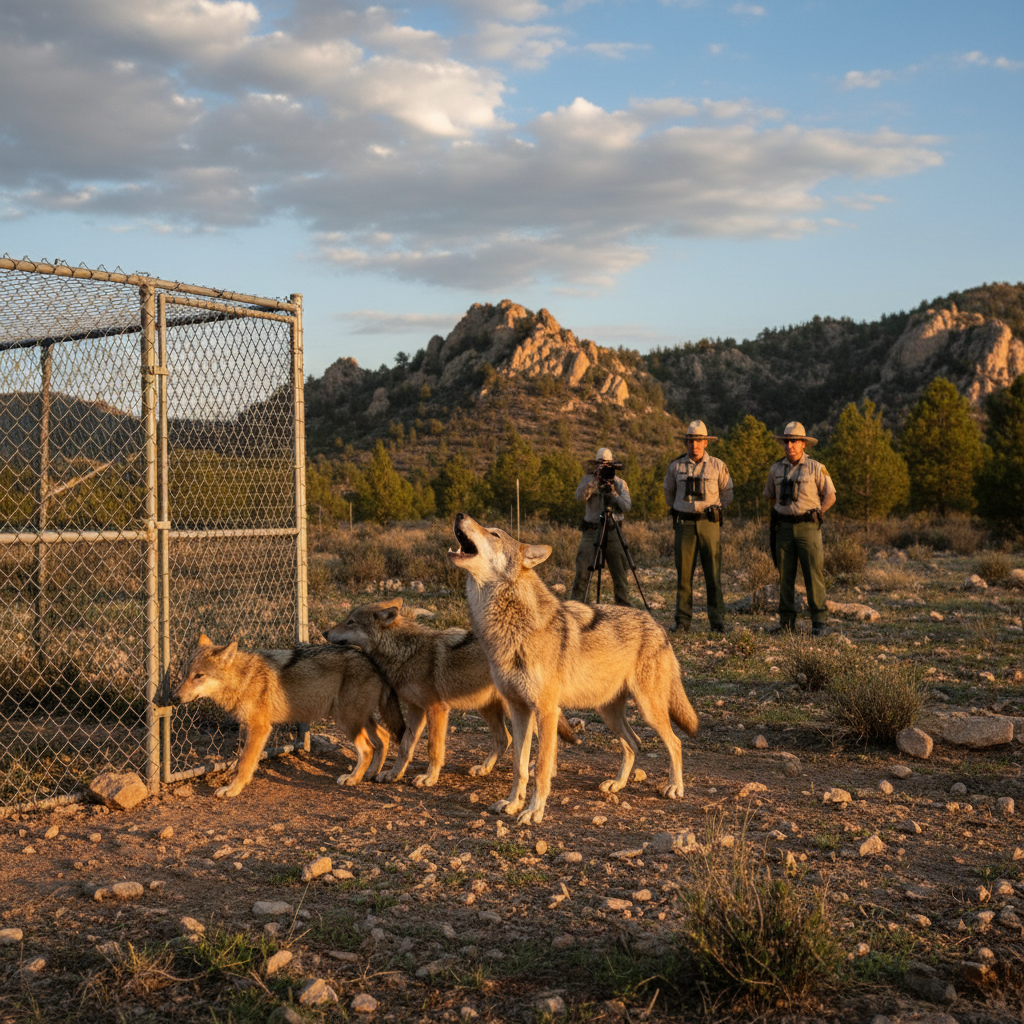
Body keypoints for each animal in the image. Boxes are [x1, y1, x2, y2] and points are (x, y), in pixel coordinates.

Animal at [175, 635, 406, 798]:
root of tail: (372, 661)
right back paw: (371, 774)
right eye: (186, 674)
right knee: (384, 738)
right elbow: (246, 761)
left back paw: (353, 779)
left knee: (367, 749)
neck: (243, 679)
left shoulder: (260, 728)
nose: (175, 697)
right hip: (357, 720)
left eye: (199, 676)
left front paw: (233, 790)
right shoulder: (250, 728)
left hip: (346, 721)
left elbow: (244, 763)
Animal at [324, 598, 577, 787]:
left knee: (548, 736)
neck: (404, 652)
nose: (325, 633)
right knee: (505, 739)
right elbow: (405, 746)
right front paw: (394, 774)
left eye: (351, 622)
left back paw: (547, 771)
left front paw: (428, 778)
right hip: (487, 709)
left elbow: (433, 748)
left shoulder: (436, 709)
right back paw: (484, 768)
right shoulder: (416, 710)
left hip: (515, 709)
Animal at [447, 512, 699, 825]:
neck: (509, 628)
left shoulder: (545, 710)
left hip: (648, 709)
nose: (460, 515)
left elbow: (542, 767)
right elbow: (519, 766)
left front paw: (534, 811)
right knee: (635, 743)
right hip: (609, 713)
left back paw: (675, 787)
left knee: (675, 742)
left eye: (494, 534)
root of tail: (657, 624)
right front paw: (512, 803)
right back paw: (618, 784)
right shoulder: (519, 710)